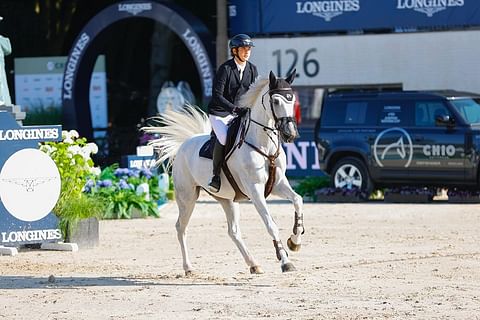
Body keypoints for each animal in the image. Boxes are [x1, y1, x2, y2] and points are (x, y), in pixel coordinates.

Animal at [144, 71, 306, 274]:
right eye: (276, 101)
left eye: (292, 101)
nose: (290, 134)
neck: (264, 145)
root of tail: (184, 144)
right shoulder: (255, 190)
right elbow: (271, 225)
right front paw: (285, 262)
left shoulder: (277, 184)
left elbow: (298, 200)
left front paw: (295, 242)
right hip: (187, 197)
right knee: (181, 227)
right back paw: (188, 267)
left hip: (227, 199)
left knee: (233, 231)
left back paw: (253, 264)